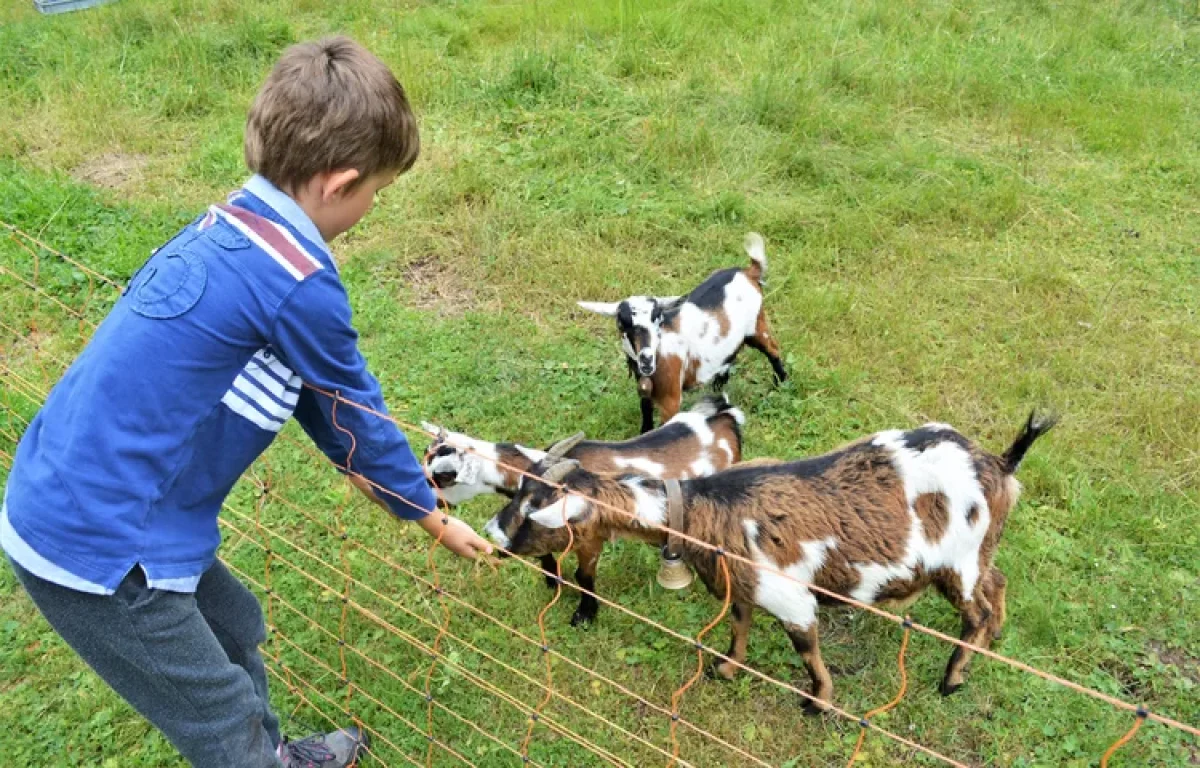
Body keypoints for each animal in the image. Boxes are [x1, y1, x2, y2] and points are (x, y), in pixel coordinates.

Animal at [422, 398, 739, 628]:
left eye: (443, 477)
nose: (432, 503)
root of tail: (726, 415)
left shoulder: (590, 539)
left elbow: (584, 576)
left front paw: (584, 615)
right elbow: (545, 556)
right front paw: (552, 582)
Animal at [492, 412, 1056, 710]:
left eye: (535, 510)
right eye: (517, 492)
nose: (495, 535)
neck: (704, 509)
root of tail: (1000, 463)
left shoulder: (789, 596)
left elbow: (806, 648)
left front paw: (818, 702)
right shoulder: (740, 584)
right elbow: (738, 624)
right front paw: (725, 669)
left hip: (957, 562)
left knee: (974, 611)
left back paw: (953, 678)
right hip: (980, 553)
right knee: (997, 583)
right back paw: (993, 640)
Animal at [578, 230, 787, 434]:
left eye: (658, 320)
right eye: (622, 325)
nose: (646, 358)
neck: (661, 349)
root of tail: (748, 272)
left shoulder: (670, 399)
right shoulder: (645, 392)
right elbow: (646, 416)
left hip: (757, 325)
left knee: (773, 349)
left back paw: (780, 384)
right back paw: (719, 388)